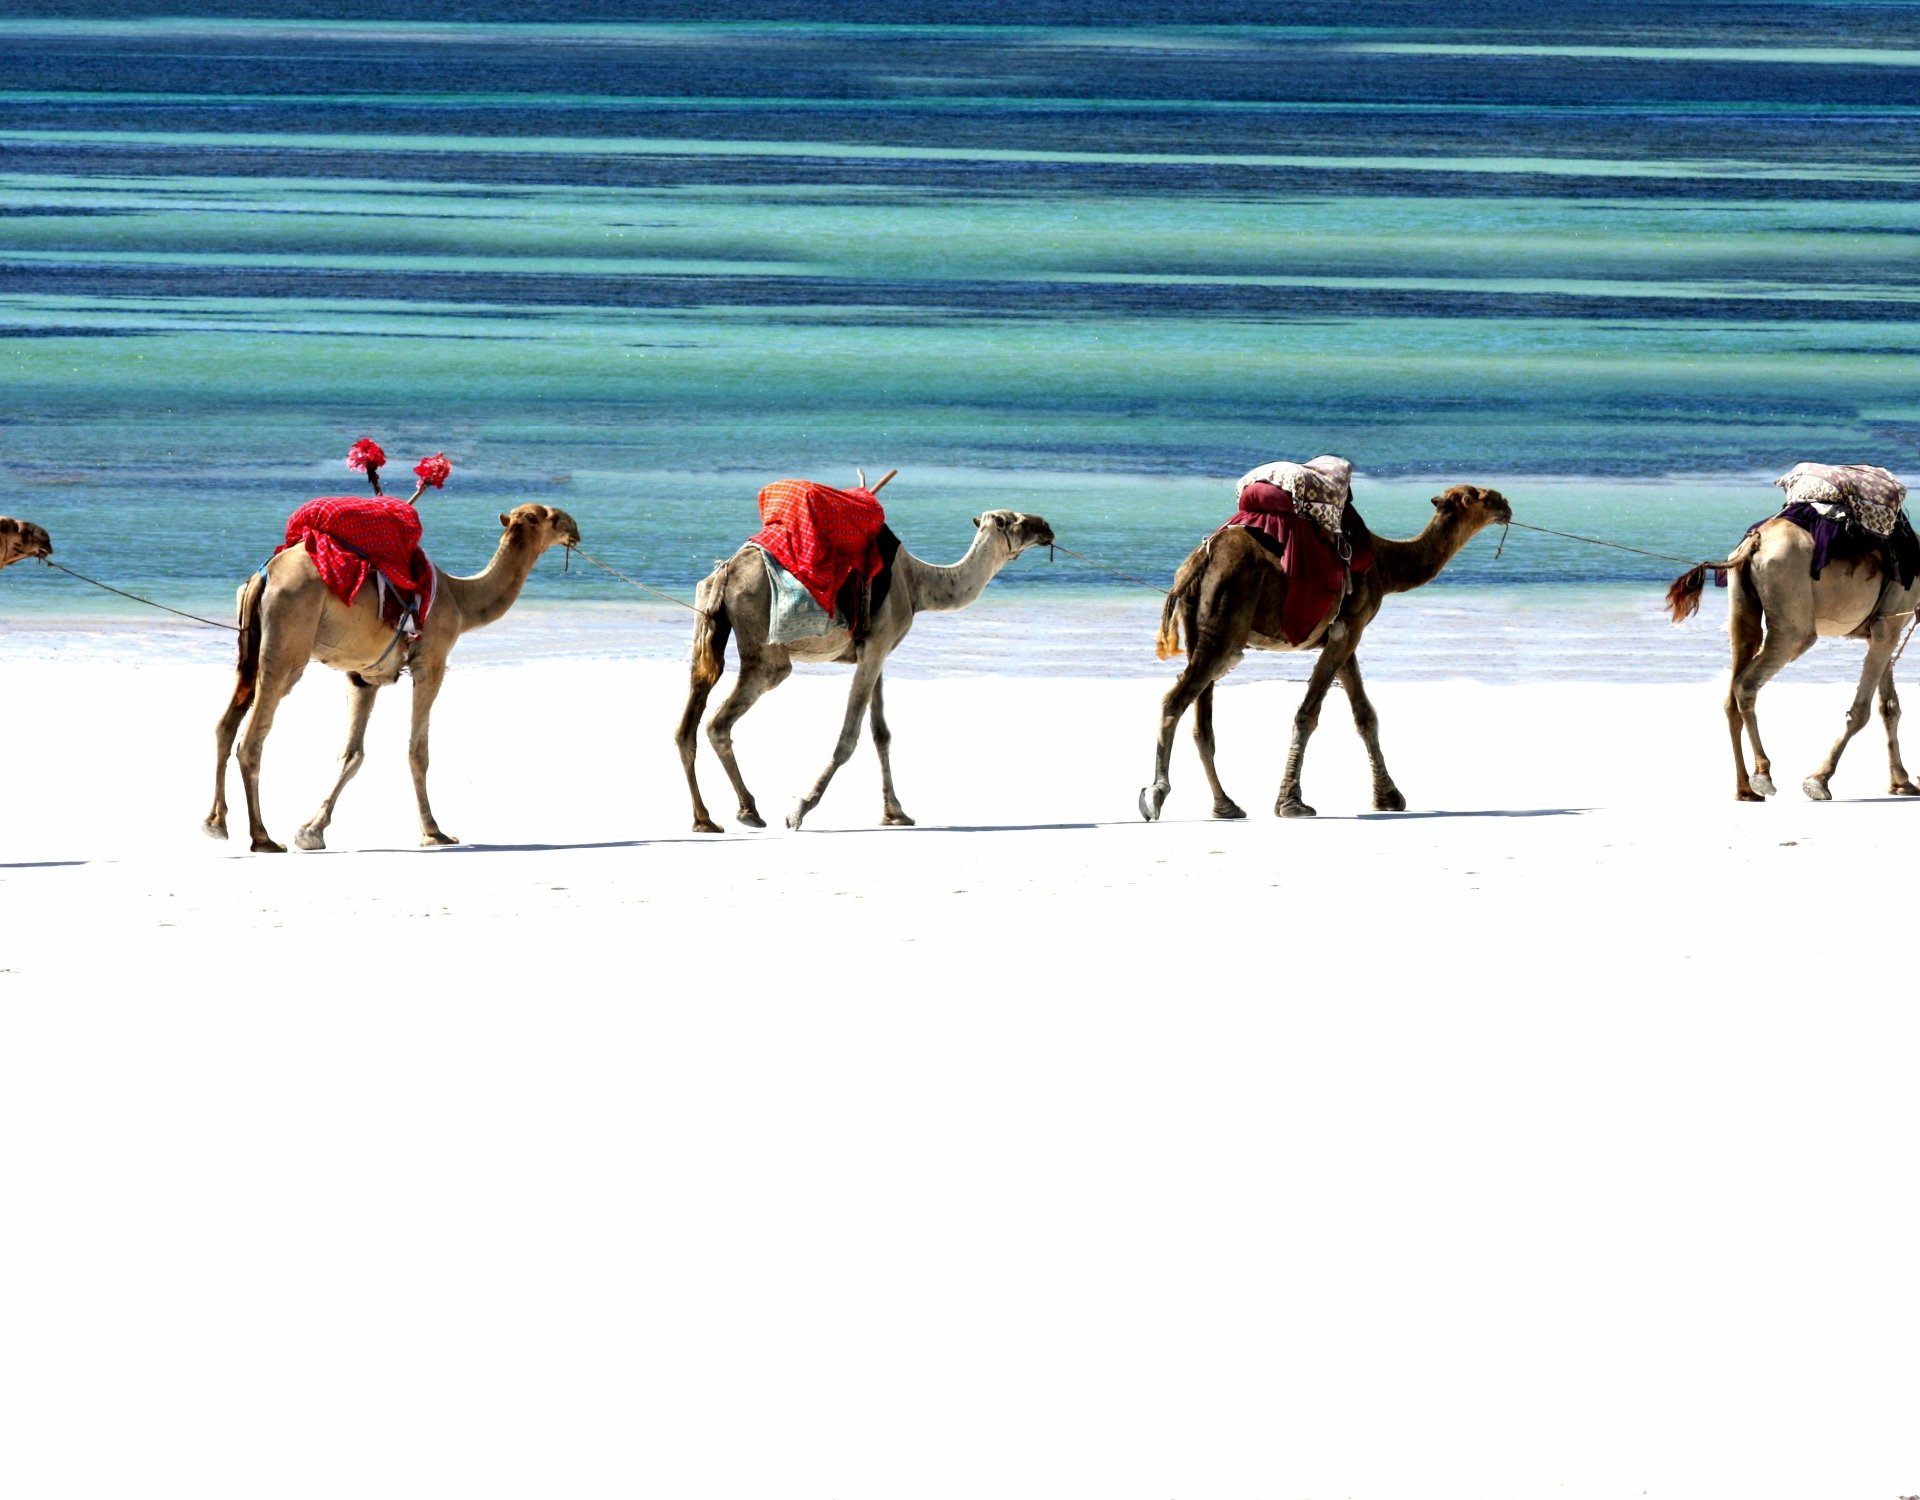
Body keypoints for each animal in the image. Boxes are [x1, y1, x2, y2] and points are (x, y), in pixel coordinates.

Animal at [204, 503, 580, 852]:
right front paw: (434, 832)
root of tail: (263, 577)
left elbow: (352, 754)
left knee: (226, 724)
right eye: (549, 516)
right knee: (253, 738)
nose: (575, 528)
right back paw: (262, 837)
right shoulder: (431, 663)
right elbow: (418, 751)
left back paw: (216, 823)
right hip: (287, 643)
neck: (459, 600)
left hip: (250, 649)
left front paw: (312, 830)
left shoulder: (364, 676)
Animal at [676, 507, 1055, 832]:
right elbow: (848, 737)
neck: (917, 585)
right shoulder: (875, 647)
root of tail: (725, 574)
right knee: (719, 722)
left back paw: (705, 820)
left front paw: (896, 813)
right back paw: (749, 811)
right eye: (1016, 520)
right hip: (765, 649)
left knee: (687, 724)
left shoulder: (874, 651)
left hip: (706, 624)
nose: (1047, 527)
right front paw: (800, 809)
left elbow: (881, 733)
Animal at [1139, 483, 1513, 820]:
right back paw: (1155, 794)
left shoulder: (1345, 634)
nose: (1505, 503)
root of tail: (1196, 565)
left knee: (1202, 723)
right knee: (1175, 701)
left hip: (1201, 628)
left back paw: (1226, 806)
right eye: (1476, 496)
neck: (1384, 563)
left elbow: (1364, 715)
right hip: (1224, 625)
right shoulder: (1349, 629)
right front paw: (1291, 803)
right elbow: (1308, 714)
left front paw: (1388, 797)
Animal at [1667, 518, 1920, 802]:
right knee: (1747, 683)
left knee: (1733, 688)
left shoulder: (1882, 629)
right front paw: (1818, 780)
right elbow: (1861, 711)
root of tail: (1755, 543)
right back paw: (1763, 775)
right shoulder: (1888, 625)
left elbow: (1889, 707)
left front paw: (1902, 782)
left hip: (1742, 610)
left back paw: (1745, 789)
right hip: (1793, 622)